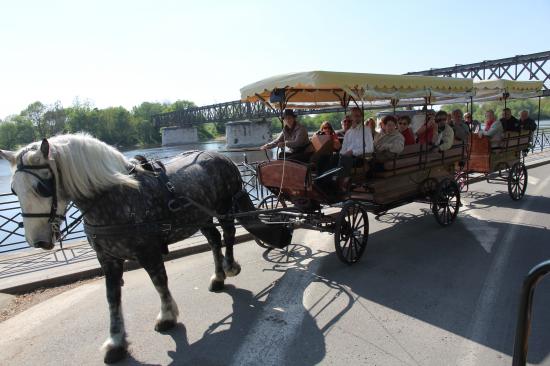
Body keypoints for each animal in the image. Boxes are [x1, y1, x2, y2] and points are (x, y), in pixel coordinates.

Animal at [0, 134, 276, 364]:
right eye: (13, 189)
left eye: (41, 187)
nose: (38, 241)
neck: (116, 196)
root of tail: (222, 157)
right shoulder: (107, 259)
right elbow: (112, 298)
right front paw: (116, 342)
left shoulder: (148, 251)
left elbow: (160, 282)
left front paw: (167, 316)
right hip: (201, 216)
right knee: (214, 239)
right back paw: (218, 277)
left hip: (225, 207)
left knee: (228, 234)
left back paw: (229, 267)